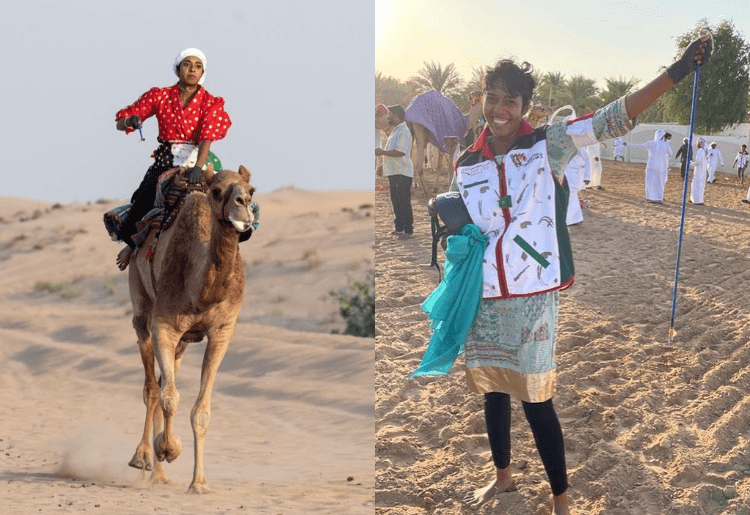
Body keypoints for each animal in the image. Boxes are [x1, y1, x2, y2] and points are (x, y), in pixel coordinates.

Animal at [128, 166, 258, 496]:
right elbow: (168, 398)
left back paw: (160, 475)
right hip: (141, 307)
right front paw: (169, 448)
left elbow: (201, 411)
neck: (201, 292)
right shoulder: (164, 324)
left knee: (162, 381)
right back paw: (144, 457)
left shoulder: (222, 331)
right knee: (151, 387)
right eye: (217, 191)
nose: (243, 207)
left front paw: (199, 482)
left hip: (184, 342)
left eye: (252, 190)